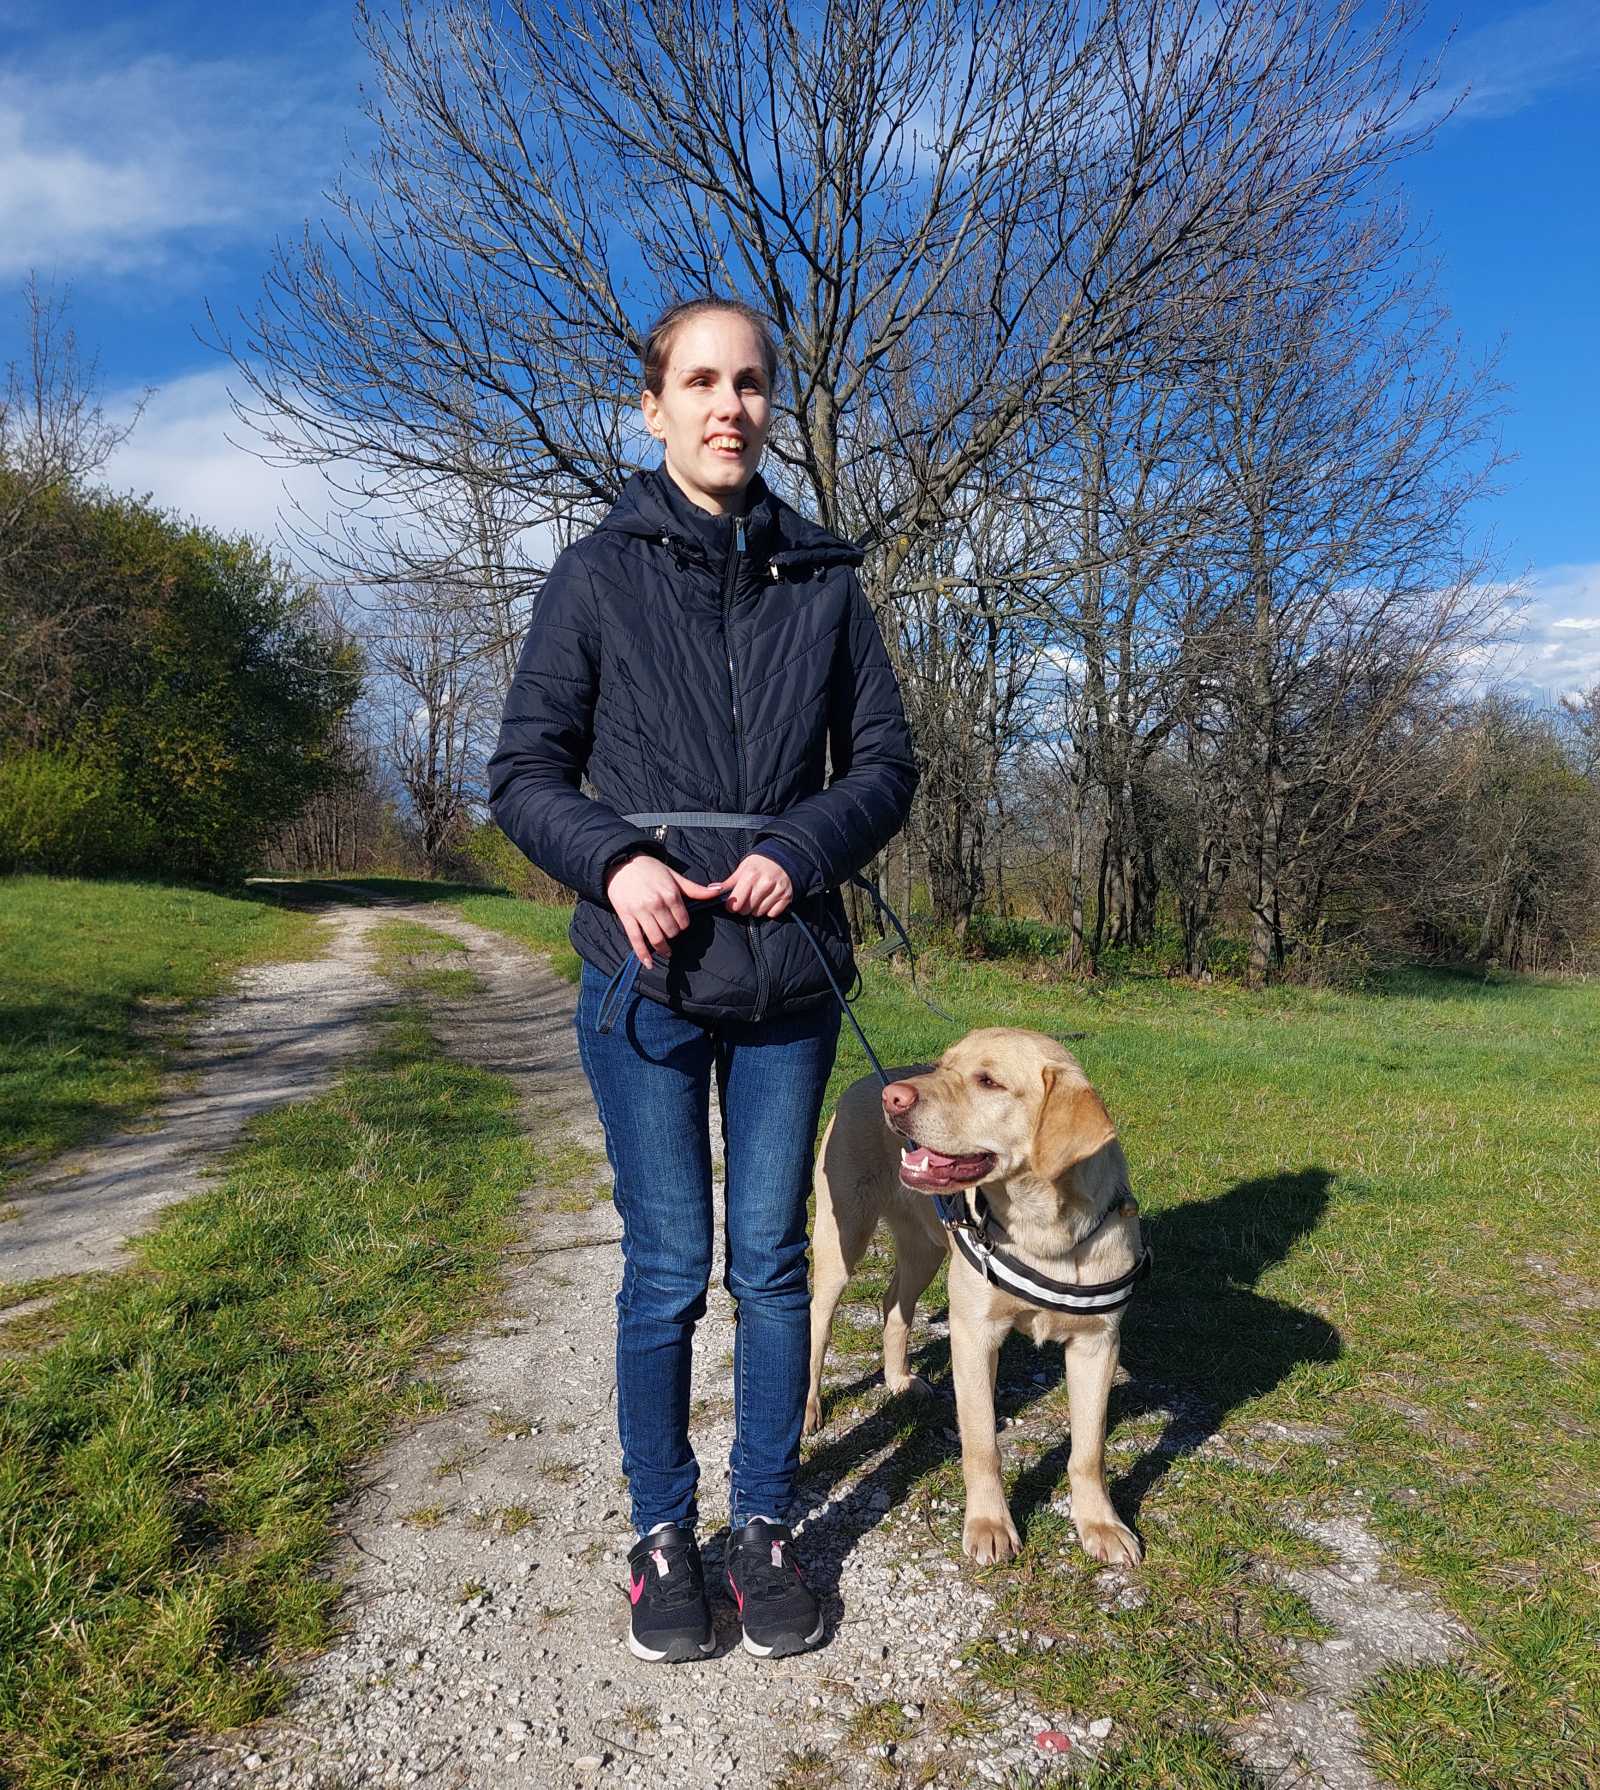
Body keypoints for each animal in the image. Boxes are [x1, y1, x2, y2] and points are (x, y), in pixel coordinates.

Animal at [804, 1027, 1144, 1567]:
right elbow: (983, 1444)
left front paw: (1101, 1525)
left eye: (988, 1081)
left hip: (924, 1248)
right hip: (842, 1239)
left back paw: (899, 1379)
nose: (892, 1099)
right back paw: (810, 1409)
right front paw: (989, 1525)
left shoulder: (1098, 1345)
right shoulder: (974, 1335)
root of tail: (866, 1078)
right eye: (944, 1065)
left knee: (893, 1304)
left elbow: (1089, 1451)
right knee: (819, 1318)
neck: (1043, 1230)